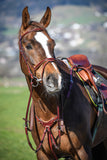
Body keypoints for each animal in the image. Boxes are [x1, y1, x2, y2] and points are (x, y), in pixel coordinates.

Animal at [18, 6, 107, 160]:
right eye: (28, 45)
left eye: (52, 43)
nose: (55, 80)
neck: (49, 110)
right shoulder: (43, 154)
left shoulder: (82, 151)